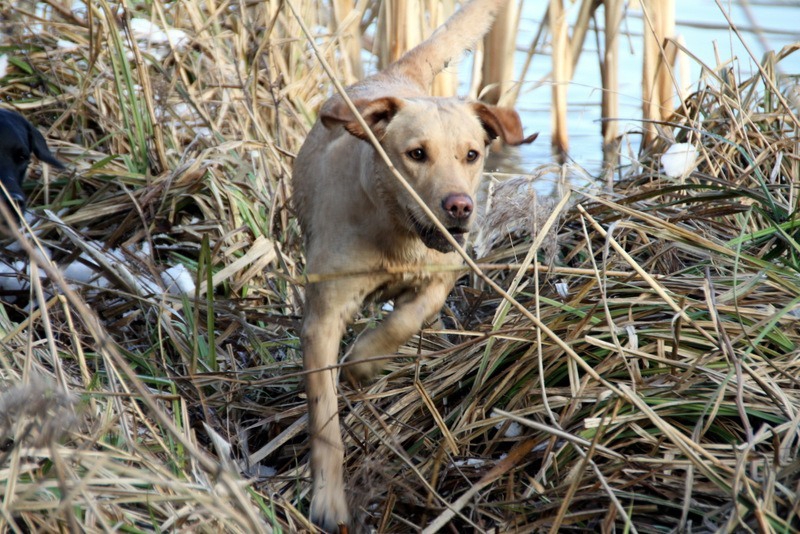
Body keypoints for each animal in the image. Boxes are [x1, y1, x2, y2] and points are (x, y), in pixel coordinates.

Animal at [290, 0, 536, 528]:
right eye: (416, 154)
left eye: (472, 154)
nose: (459, 206)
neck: (395, 231)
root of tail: (397, 74)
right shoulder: (322, 318)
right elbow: (325, 422)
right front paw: (328, 501)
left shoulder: (441, 276)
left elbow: (406, 319)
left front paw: (365, 361)